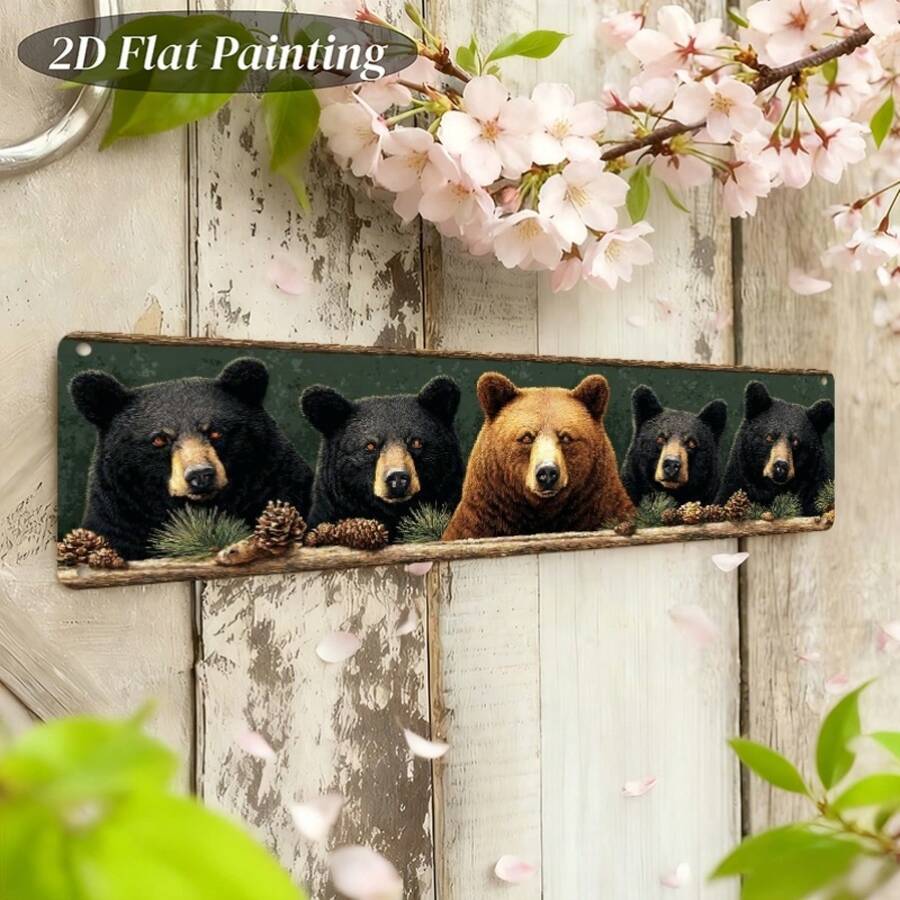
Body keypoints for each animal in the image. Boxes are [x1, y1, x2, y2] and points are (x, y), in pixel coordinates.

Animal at [441, 372, 634, 540]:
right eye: (526, 437)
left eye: (566, 437)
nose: (547, 472)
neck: (543, 511)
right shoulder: (481, 520)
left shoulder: (603, 506)